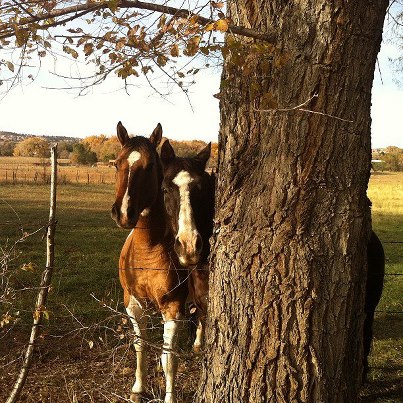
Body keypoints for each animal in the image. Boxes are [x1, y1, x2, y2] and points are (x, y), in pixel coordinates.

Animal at [111, 122, 189, 403]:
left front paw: (170, 397)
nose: (124, 213)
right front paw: (138, 388)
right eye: (117, 163)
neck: (149, 248)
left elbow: (169, 360)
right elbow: (140, 345)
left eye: (151, 166)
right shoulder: (133, 303)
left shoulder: (173, 307)